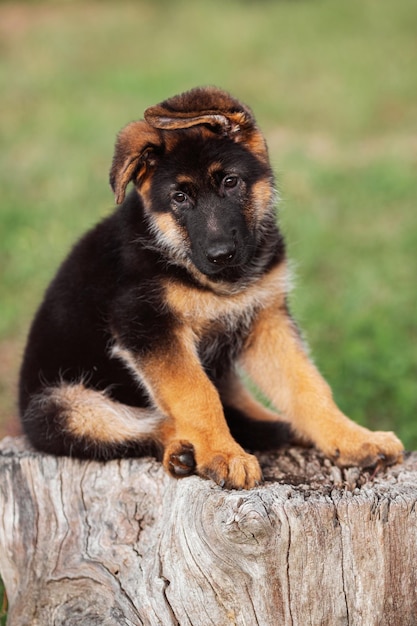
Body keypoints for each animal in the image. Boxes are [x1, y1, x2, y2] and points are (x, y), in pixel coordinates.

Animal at [17, 88, 404, 488]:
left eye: (230, 182)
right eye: (179, 198)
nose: (221, 255)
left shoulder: (265, 319)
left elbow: (307, 385)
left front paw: (352, 438)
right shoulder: (146, 324)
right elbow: (196, 393)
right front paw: (224, 454)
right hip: (60, 408)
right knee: (144, 425)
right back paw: (183, 451)